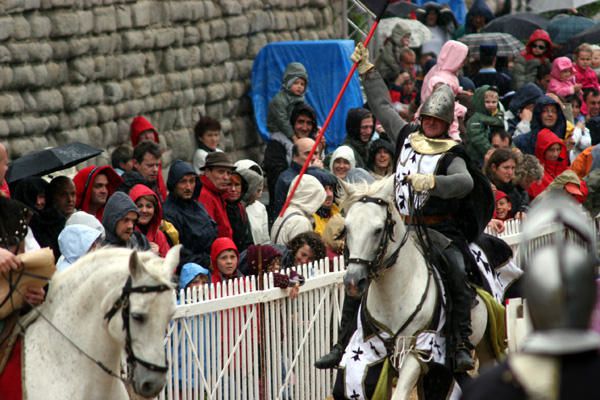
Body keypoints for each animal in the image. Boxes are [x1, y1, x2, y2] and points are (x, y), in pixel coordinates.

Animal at [340, 177, 490, 398]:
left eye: (378, 230)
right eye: (347, 228)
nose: (353, 282)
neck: (394, 296)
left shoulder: (418, 349)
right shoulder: (365, 350)